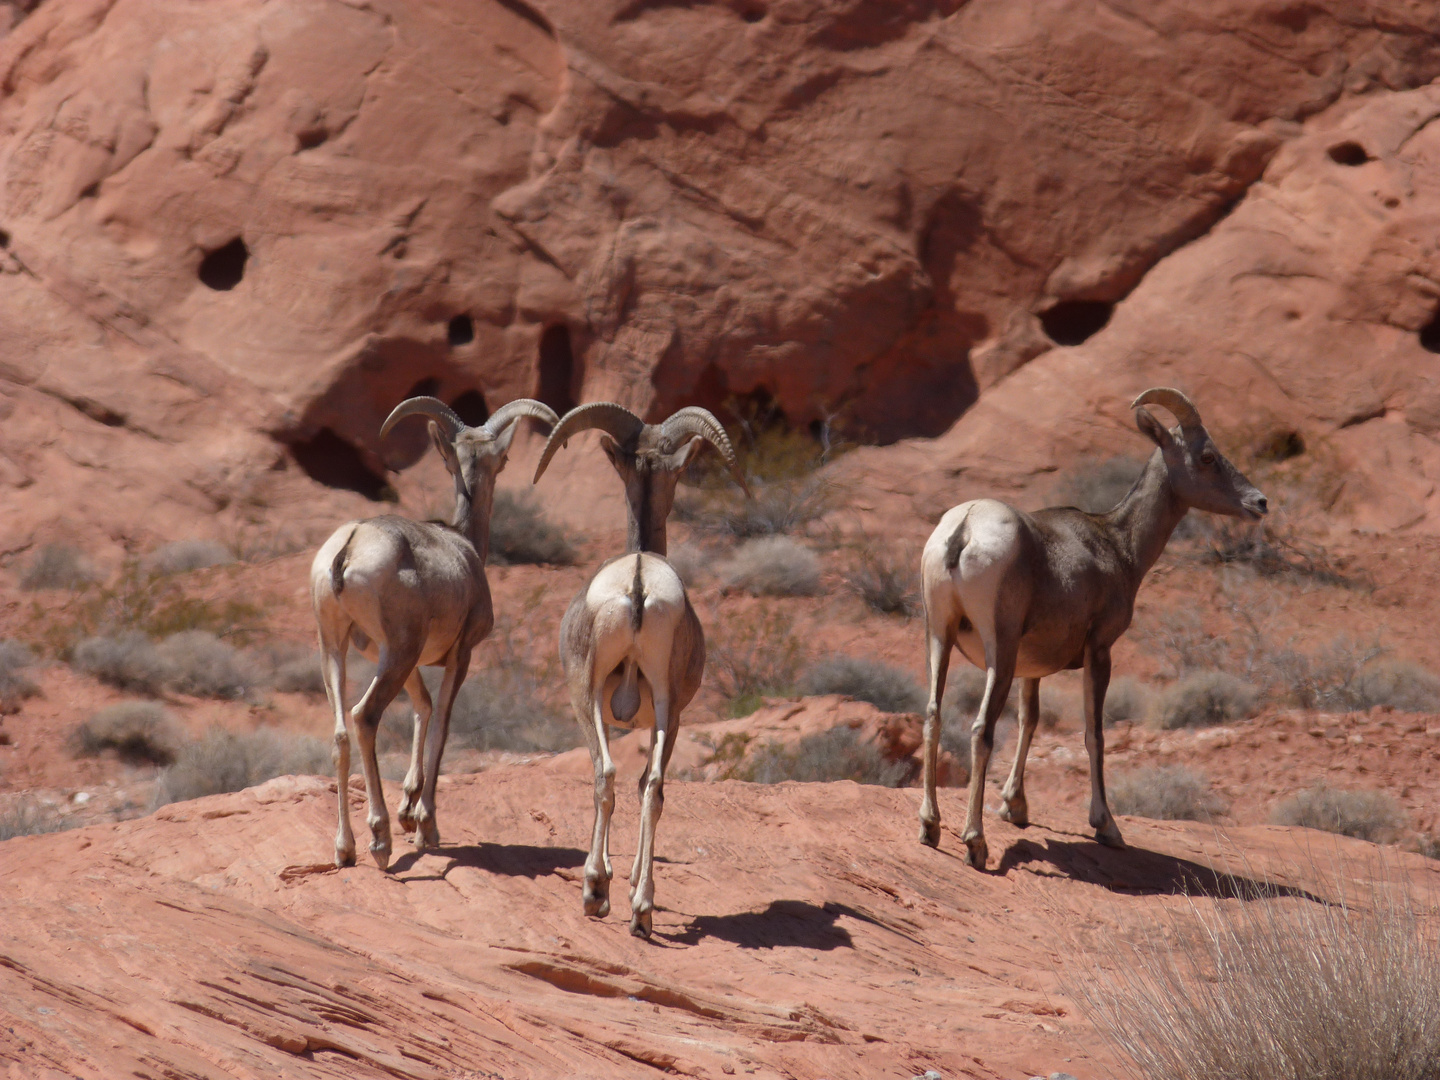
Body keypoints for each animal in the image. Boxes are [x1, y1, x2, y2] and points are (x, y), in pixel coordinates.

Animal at [311, 397, 555, 869]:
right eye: (505, 459)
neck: (464, 545)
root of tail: (350, 546)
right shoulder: (459, 655)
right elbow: (441, 722)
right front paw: (425, 827)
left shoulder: (404, 659)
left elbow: (422, 708)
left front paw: (409, 809)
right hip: (397, 653)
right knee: (364, 717)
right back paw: (381, 841)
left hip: (336, 647)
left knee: (340, 731)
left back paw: (344, 849)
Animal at [535, 403, 748, 938]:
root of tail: (636, 585)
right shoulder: (659, 717)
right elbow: (645, 785)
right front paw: (630, 885)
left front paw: (606, 882)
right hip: (670, 710)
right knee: (652, 787)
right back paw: (642, 910)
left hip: (588, 696)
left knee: (605, 774)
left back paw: (597, 893)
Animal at [915, 388, 1267, 869]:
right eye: (1208, 456)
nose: (1260, 503)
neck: (1118, 544)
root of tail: (964, 529)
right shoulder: (1100, 652)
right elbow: (1094, 734)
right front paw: (1107, 827)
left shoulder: (1031, 668)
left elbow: (1029, 720)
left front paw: (1016, 807)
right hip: (996, 652)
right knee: (981, 729)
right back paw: (975, 842)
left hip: (940, 637)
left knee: (932, 715)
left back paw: (930, 827)